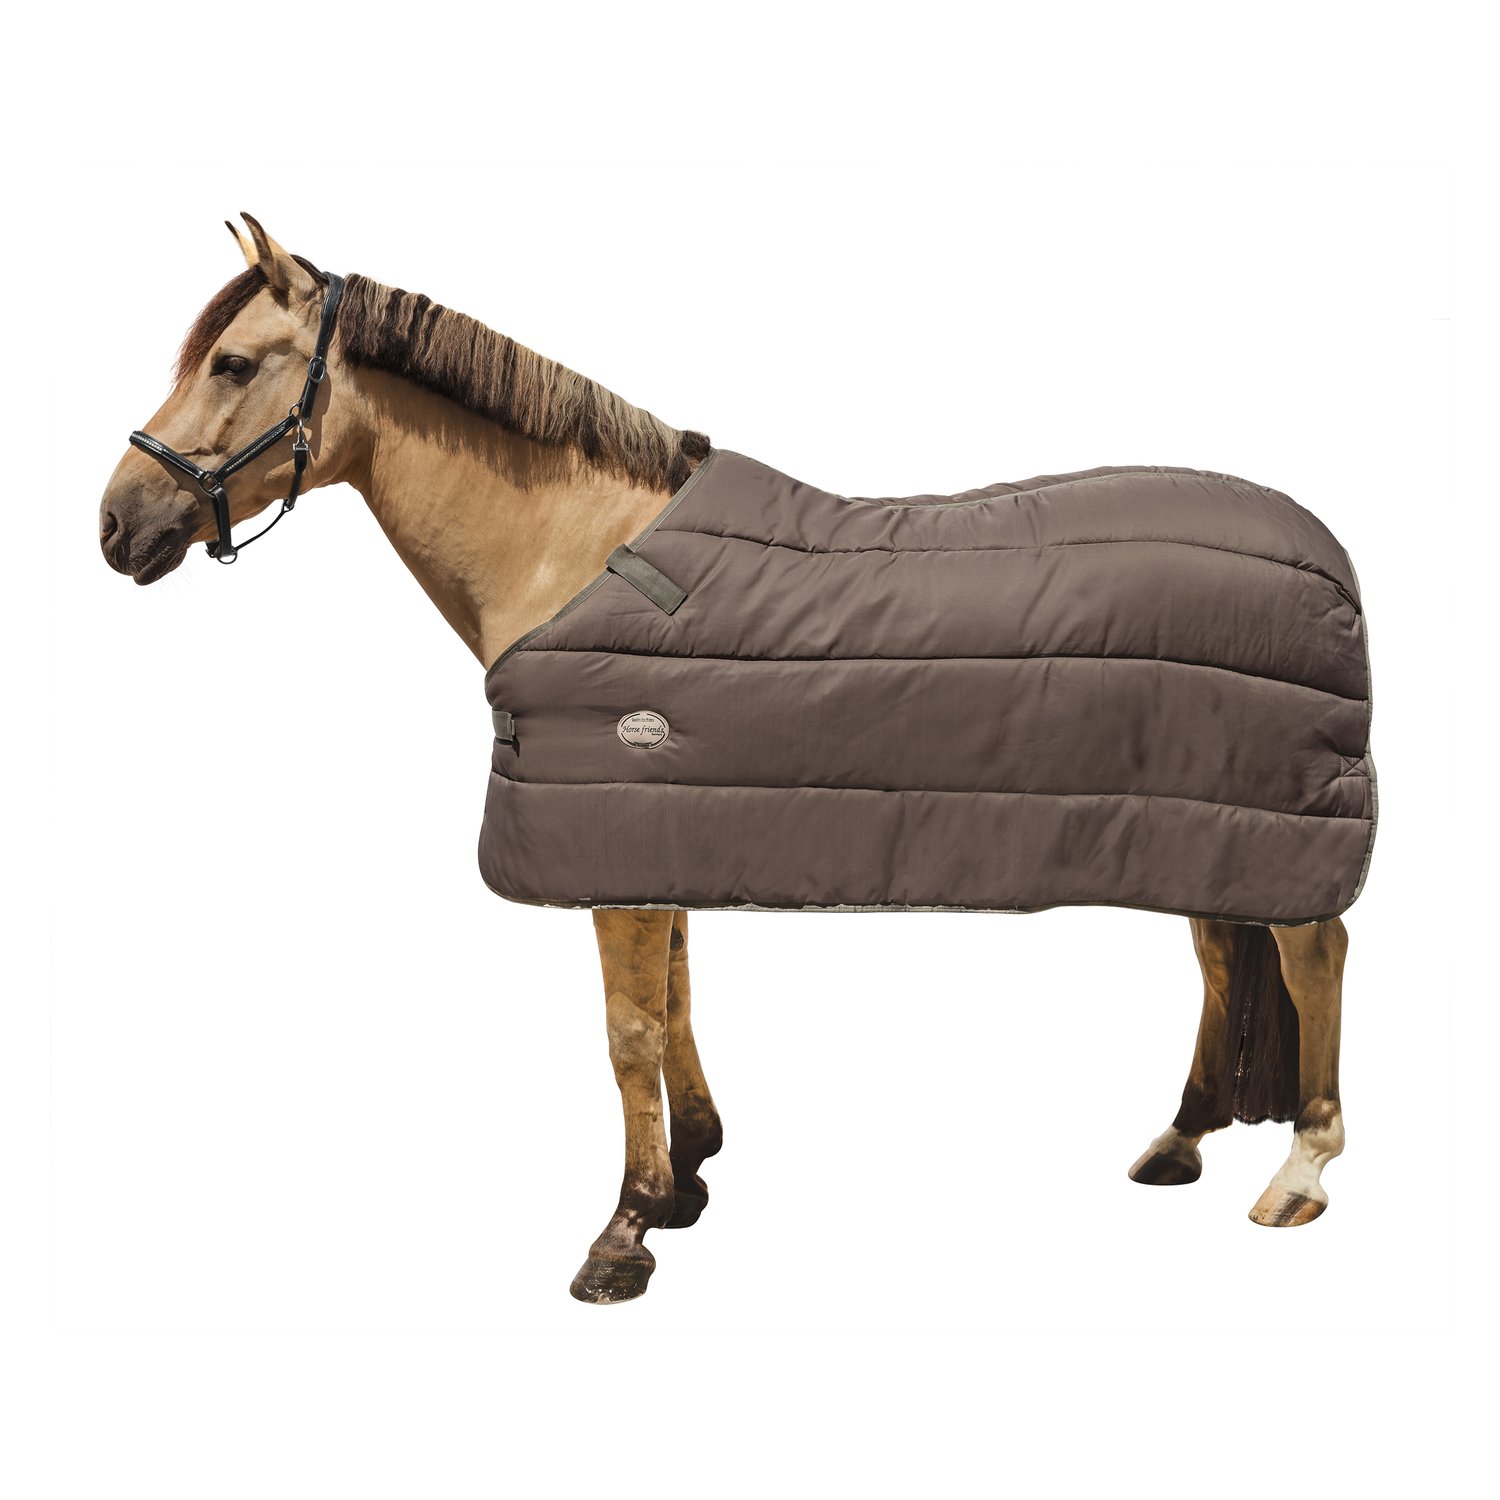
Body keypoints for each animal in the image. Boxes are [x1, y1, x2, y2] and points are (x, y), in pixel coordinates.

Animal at [98, 215, 1367, 1304]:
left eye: (233, 364)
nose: (117, 523)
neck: (577, 550)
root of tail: (1325, 552)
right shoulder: (659, 830)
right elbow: (675, 996)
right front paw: (691, 1176)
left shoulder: (614, 838)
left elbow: (627, 1031)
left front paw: (624, 1231)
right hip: (1205, 825)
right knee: (1222, 959)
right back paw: (1184, 1136)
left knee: (1312, 958)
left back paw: (1300, 1170)